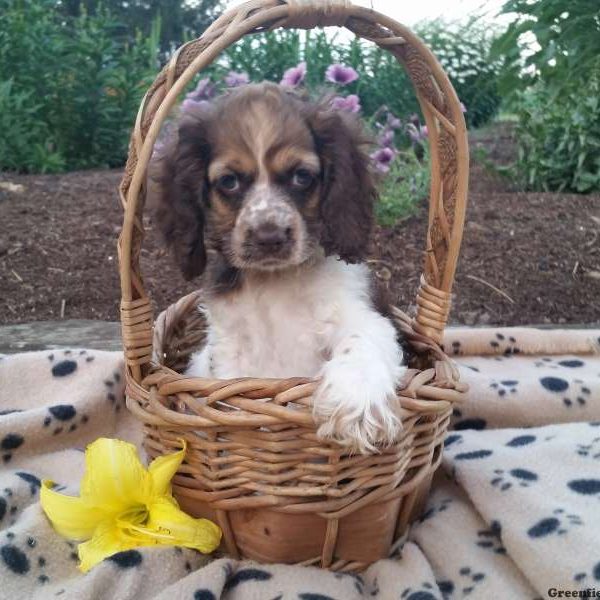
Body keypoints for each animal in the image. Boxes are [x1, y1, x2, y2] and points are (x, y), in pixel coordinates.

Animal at [150, 82, 406, 452]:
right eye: (229, 181)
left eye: (301, 176)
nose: (268, 236)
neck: (275, 283)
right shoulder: (231, 351)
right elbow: (233, 396)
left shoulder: (362, 314)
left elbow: (361, 342)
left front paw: (356, 406)